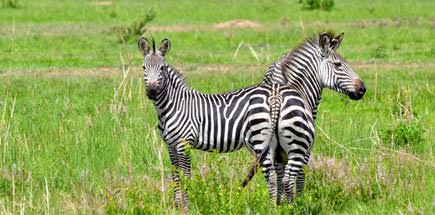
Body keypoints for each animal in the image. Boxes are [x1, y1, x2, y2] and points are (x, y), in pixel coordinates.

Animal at [140, 36, 296, 208]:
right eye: (143, 67)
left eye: (162, 68)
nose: (152, 92)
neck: (172, 106)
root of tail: (273, 93)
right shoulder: (171, 145)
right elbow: (176, 176)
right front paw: (177, 206)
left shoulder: (184, 143)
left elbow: (186, 175)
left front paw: (186, 207)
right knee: (280, 172)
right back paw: (281, 205)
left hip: (262, 138)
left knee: (273, 175)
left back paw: (272, 207)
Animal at [244, 31, 366, 204]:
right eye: (338, 65)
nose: (363, 89)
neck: (299, 88)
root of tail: (276, 100)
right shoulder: (305, 149)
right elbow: (300, 176)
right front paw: (298, 200)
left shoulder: (280, 154)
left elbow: (280, 176)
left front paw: (280, 203)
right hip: (296, 146)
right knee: (288, 178)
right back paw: (294, 206)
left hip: (263, 145)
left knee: (272, 177)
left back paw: (274, 205)